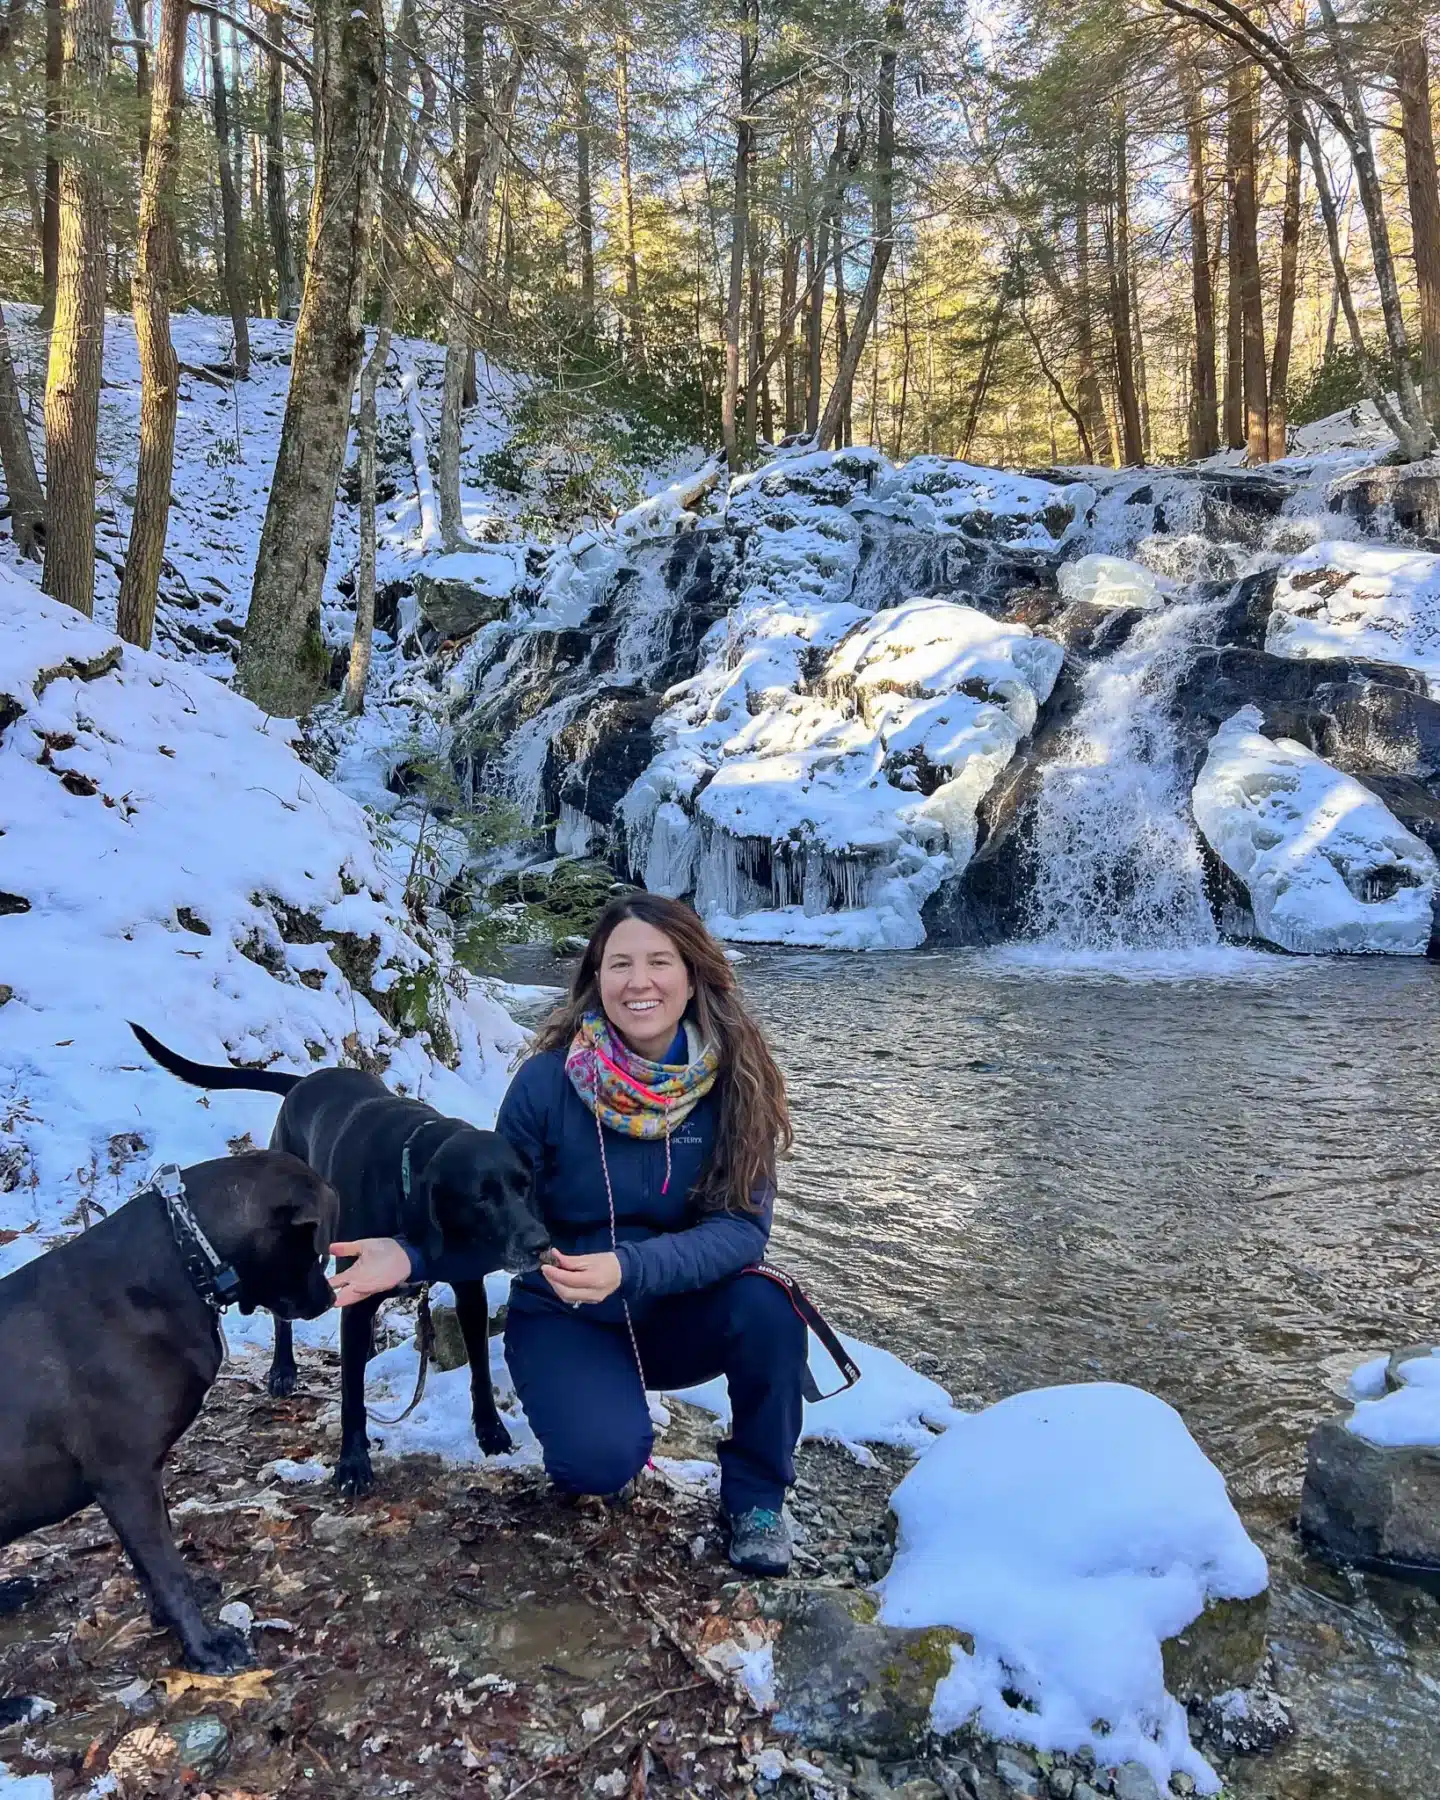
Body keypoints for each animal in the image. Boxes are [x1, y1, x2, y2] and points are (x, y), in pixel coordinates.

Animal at [0, 1152, 334, 1670]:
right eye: (315, 1252)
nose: (330, 1297)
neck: (184, 1254)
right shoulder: (125, 1476)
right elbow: (166, 1569)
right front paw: (205, 1646)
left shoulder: (138, 1481)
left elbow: (152, 1563)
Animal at [129, 1029, 550, 1490]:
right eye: (481, 1197)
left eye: (524, 1185)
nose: (541, 1242)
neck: (408, 1181)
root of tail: (303, 1082)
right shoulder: (359, 1291)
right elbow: (352, 1395)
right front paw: (352, 1462)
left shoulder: (469, 1292)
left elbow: (480, 1370)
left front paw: (492, 1432)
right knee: (285, 1317)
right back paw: (283, 1368)